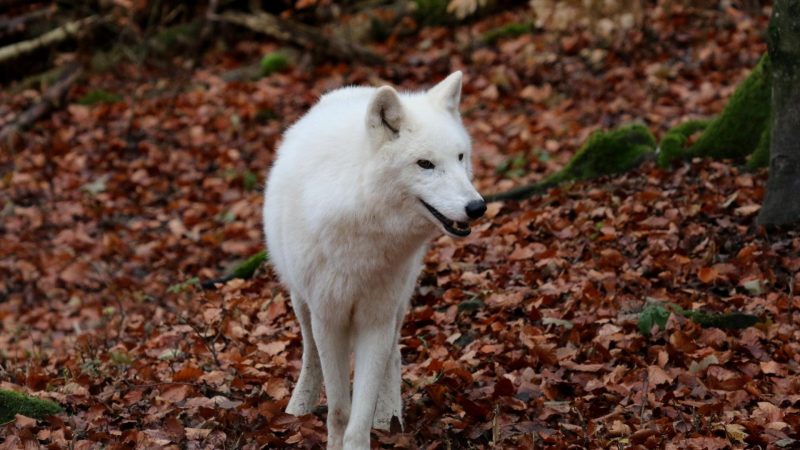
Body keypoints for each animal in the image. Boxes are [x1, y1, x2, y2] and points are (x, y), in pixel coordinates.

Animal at [266, 72, 484, 448]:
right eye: (425, 164)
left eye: (459, 157)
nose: (477, 207)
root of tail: (355, 89)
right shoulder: (329, 318)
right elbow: (339, 411)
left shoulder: (376, 319)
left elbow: (359, 415)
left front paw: (368, 429)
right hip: (301, 303)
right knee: (310, 354)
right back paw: (298, 406)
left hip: (399, 303)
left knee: (394, 356)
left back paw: (390, 418)